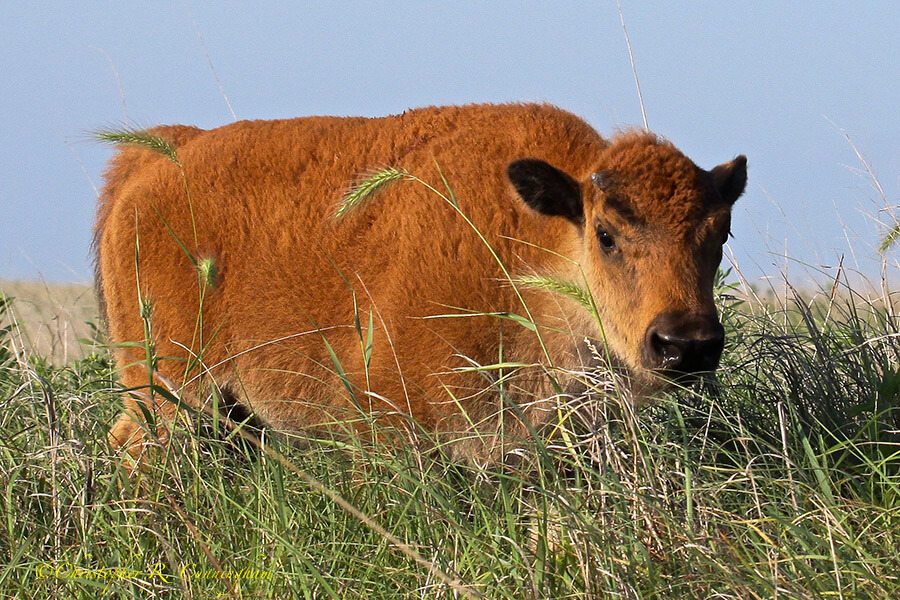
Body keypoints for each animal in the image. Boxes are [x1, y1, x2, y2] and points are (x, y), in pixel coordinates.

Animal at [96, 101, 744, 462]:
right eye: (606, 234)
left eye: (721, 233)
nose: (686, 344)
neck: (530, 238)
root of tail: (155, 163)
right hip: (172, 391)